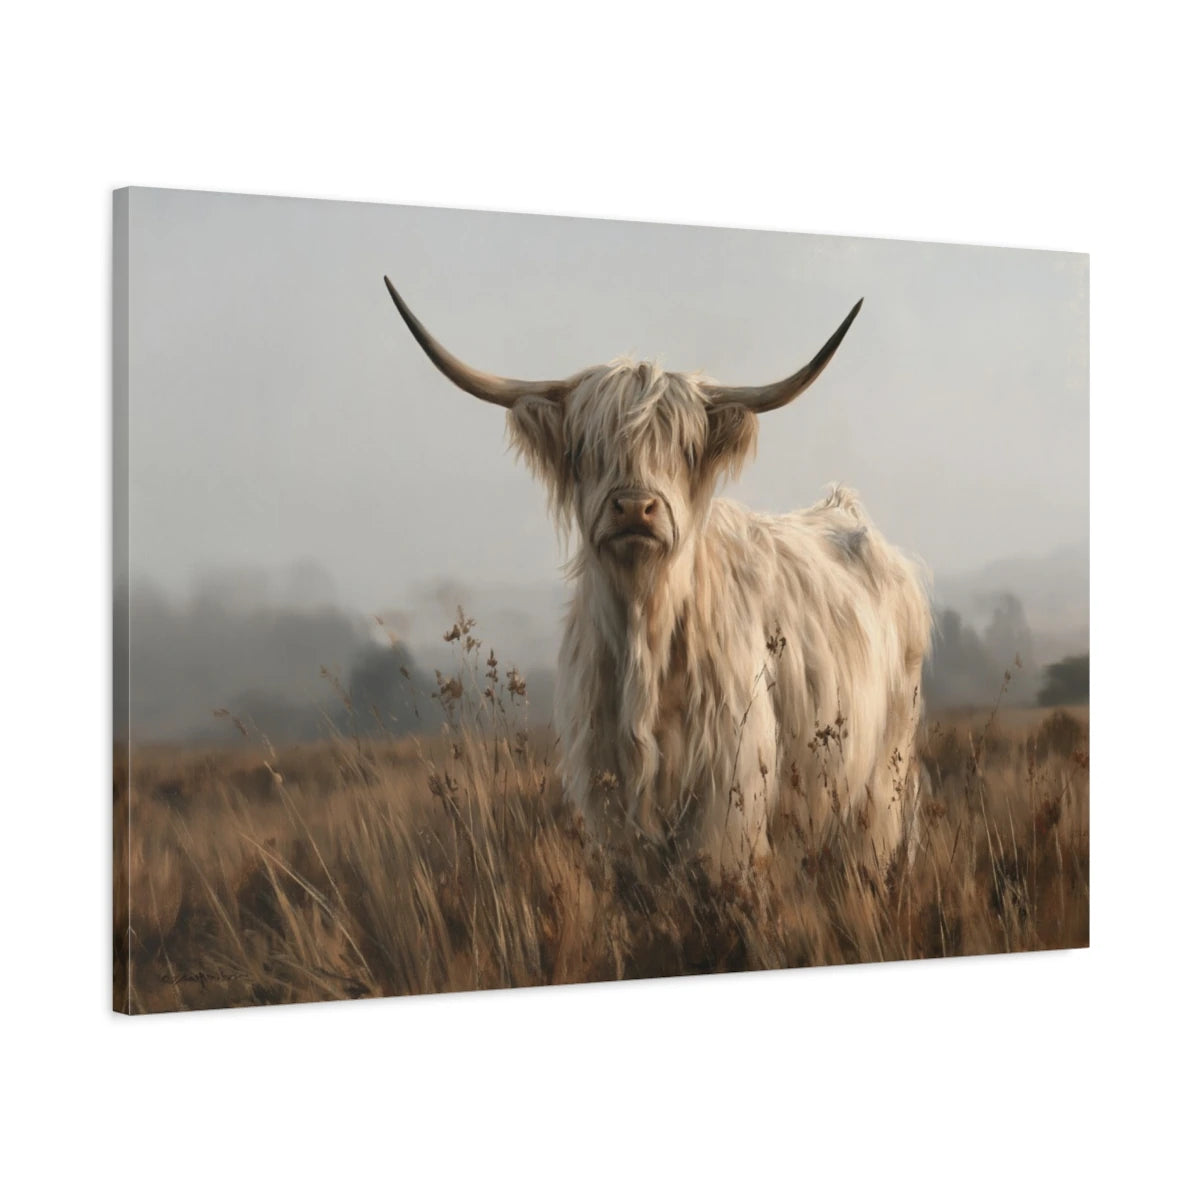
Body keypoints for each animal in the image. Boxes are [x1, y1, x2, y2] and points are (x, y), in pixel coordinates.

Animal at [385, 277, 931, 873]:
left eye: (685, 449)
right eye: (584, 448)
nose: (633, 508)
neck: (643, 632)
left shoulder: (725, 808)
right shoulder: (610, 809)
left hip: (881, 786)